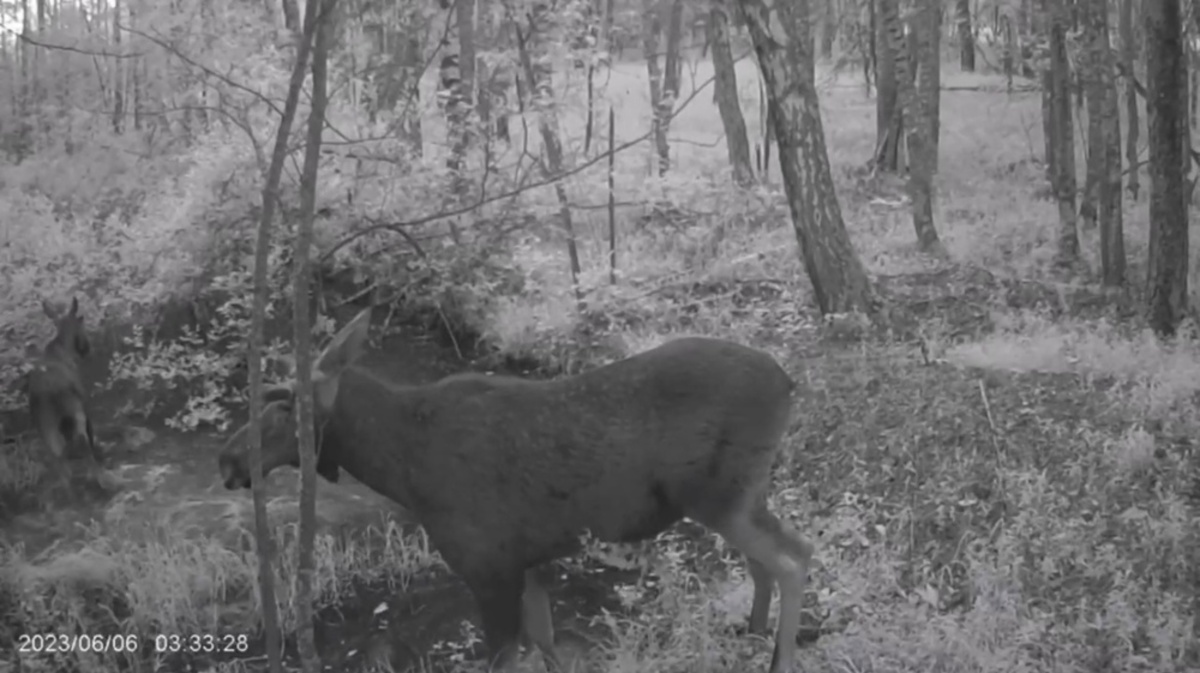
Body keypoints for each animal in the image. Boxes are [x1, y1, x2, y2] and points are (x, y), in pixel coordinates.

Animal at [26, 297, 103, 487]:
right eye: (81, 322)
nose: (88, 348)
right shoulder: (84, 404)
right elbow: (91, 434)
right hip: (73, 411)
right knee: (82, 442)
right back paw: (99, 480)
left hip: (46, 425)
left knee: (59, 463)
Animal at [218, 307, 816, 667]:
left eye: (282, 409)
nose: (227, 460)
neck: (402, 470)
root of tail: (789, 383)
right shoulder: (524, 563)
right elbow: (547, 644)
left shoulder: (488, 566)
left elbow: (505, 656)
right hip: (740, 495)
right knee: (774, 557)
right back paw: (753, 635)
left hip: (718, 495)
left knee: (793, 556)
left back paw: (779, 657)